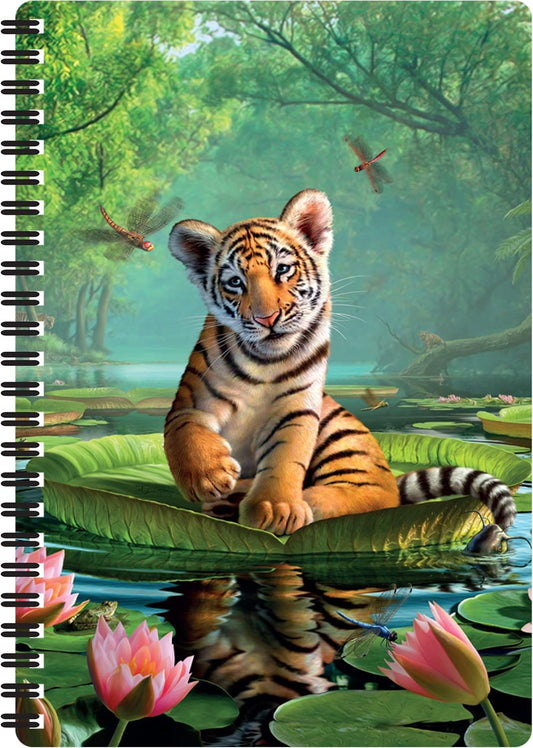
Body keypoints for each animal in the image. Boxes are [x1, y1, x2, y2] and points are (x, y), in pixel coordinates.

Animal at [164, 189, 516, 535]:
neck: (264, 362)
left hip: (343, 437)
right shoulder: (189, 402)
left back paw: (282, 500)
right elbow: (184, 432)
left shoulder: (297, 410)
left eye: (283, 270)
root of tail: (393, 478)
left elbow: (285, 457)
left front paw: (275, 509)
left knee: (369, 495)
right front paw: (208, 477)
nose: (267, 319)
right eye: (236, 282)